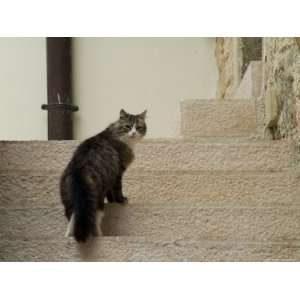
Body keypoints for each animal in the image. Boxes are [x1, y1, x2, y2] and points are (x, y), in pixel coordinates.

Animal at [59, 109, 146, 243]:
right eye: (127, 127)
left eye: (139, 127)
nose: (133, 133)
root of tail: (80, 169)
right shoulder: (118, 172)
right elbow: (117, 190)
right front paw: (121, 200)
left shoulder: (110, 177)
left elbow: (110, 194)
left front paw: (113, 202)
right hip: (96, 198)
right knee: (94, 220)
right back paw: (99, 235)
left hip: (69, 199)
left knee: (73, 218)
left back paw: (68, 235)